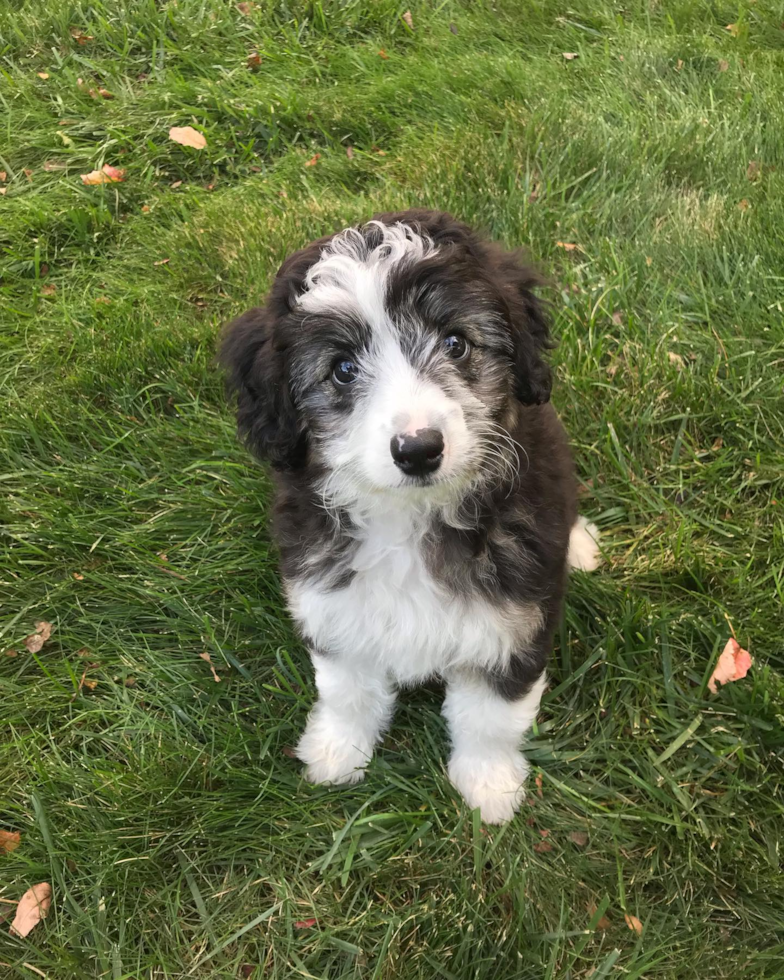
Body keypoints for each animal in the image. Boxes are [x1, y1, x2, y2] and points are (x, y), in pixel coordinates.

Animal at [220, 211, 600, 824]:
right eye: (342, 370)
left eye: (456, 343)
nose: (419, 449)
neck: (410, 518)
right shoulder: (333, 603)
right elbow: (346, 689)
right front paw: (336, 752)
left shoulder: (515, 622)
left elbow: (489, 716)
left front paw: (489, 785)